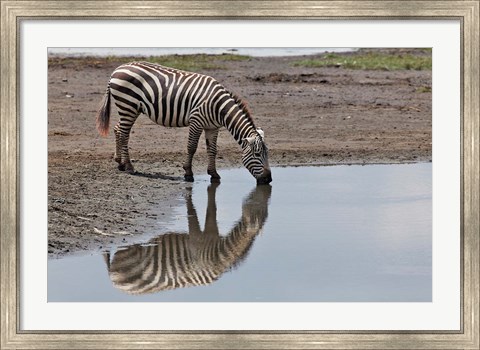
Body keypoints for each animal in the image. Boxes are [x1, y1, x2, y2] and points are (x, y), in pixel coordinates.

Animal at [95, 61, 272, 185]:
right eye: (257, 155)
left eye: (267, 154)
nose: (268, 180)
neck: (219, 108)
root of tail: (117, 69)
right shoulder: (196, 121)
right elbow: (191, 147)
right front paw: (188, 173)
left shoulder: (212, 127)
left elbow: (213, 150)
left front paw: (214, 174)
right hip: (128, 105)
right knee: (124, 133)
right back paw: (129, 166)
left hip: (130, 108)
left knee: (118, 129)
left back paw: (120, 162)